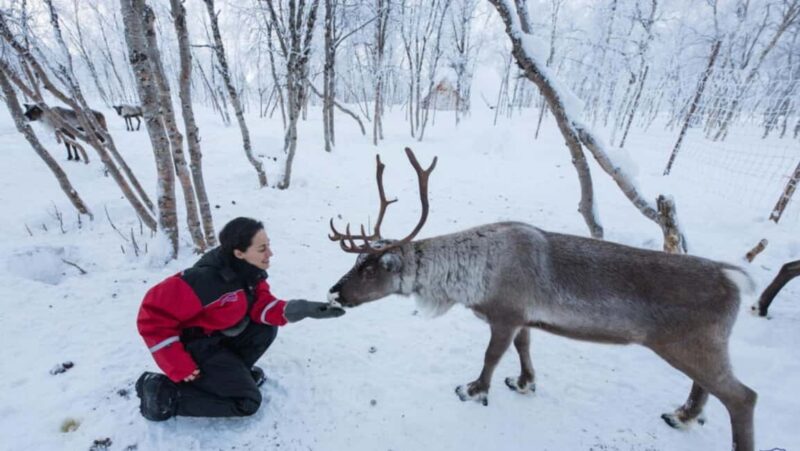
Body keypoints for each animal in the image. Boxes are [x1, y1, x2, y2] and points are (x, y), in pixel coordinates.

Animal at [327, 148, 757, 451]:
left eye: (370, 269)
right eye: (357, 262)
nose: (335, 291)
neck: (471, 273)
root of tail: (732, 278)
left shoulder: (505, 314)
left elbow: (491, 356)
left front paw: (474, 390)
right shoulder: (524, 319)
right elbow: (524, 348)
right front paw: (523, 383)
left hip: (690, 345)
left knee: (743, 397)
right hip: (701, 347)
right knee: (708, 387)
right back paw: (681, 416)